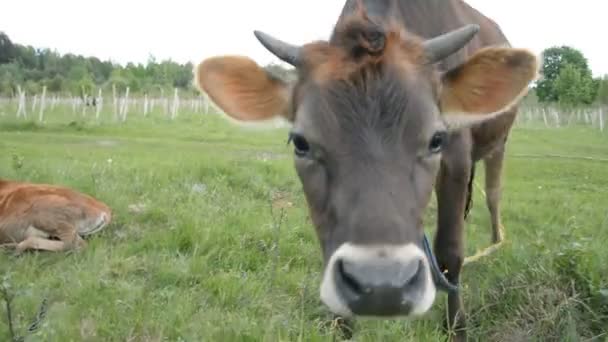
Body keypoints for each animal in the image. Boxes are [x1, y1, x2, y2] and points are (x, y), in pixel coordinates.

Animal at [192, 1, 540, 340]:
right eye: (300, 142)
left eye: (436, 139)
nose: (383, 287)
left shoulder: (456, 156)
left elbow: (451, 251)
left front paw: (456, 328)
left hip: (499, 144)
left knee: (492, 195)